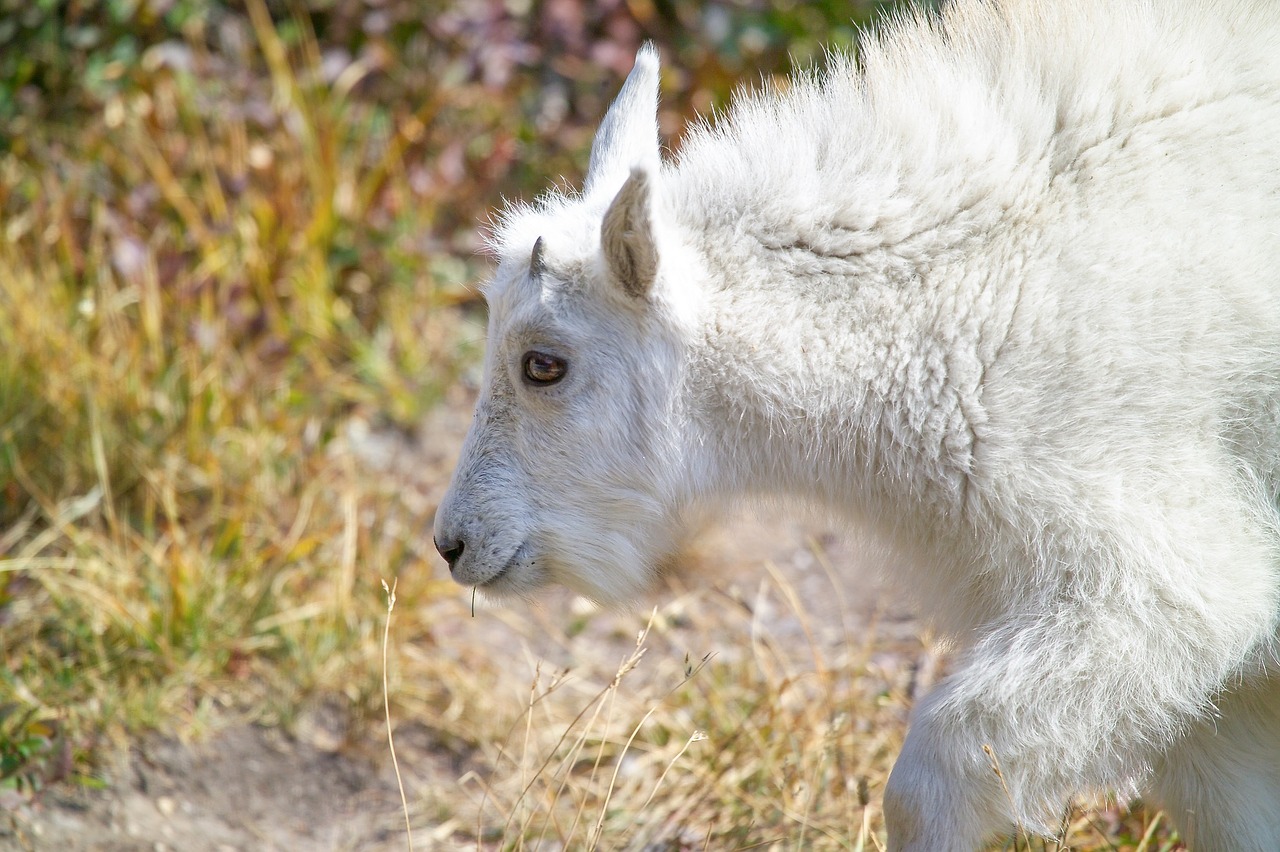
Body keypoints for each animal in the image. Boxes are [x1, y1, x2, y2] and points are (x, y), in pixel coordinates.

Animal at [437, 3, 1280, 844]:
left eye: (543, 364)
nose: (454, 542)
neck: (961, 304)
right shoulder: (1214, 704)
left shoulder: (1165, 589)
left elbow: (930, 779)